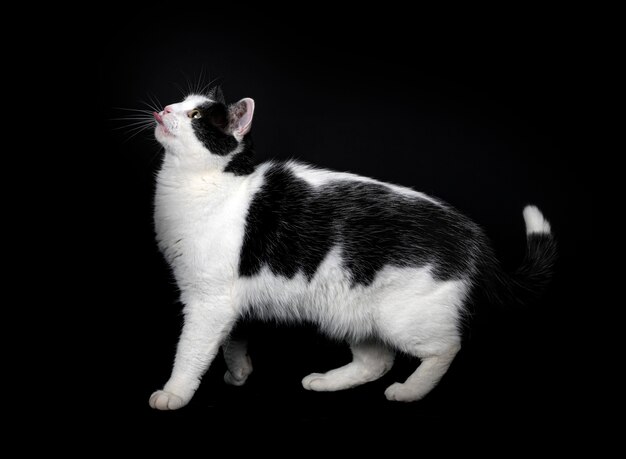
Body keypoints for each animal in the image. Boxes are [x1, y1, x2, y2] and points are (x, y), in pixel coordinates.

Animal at [147, 88, 556, 412]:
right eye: (180, 102)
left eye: (195, 116)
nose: (165, 108)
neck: (200, 186)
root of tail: (472, 235)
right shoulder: (228, 300)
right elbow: (231, 338)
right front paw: (239, 372)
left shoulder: (208, 300)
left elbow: (192, 350)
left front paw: (175, 392)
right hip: (350, 312)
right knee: (378, 361)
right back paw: (326, 381)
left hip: (403, 317)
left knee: (445, 348)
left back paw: (409, 392)